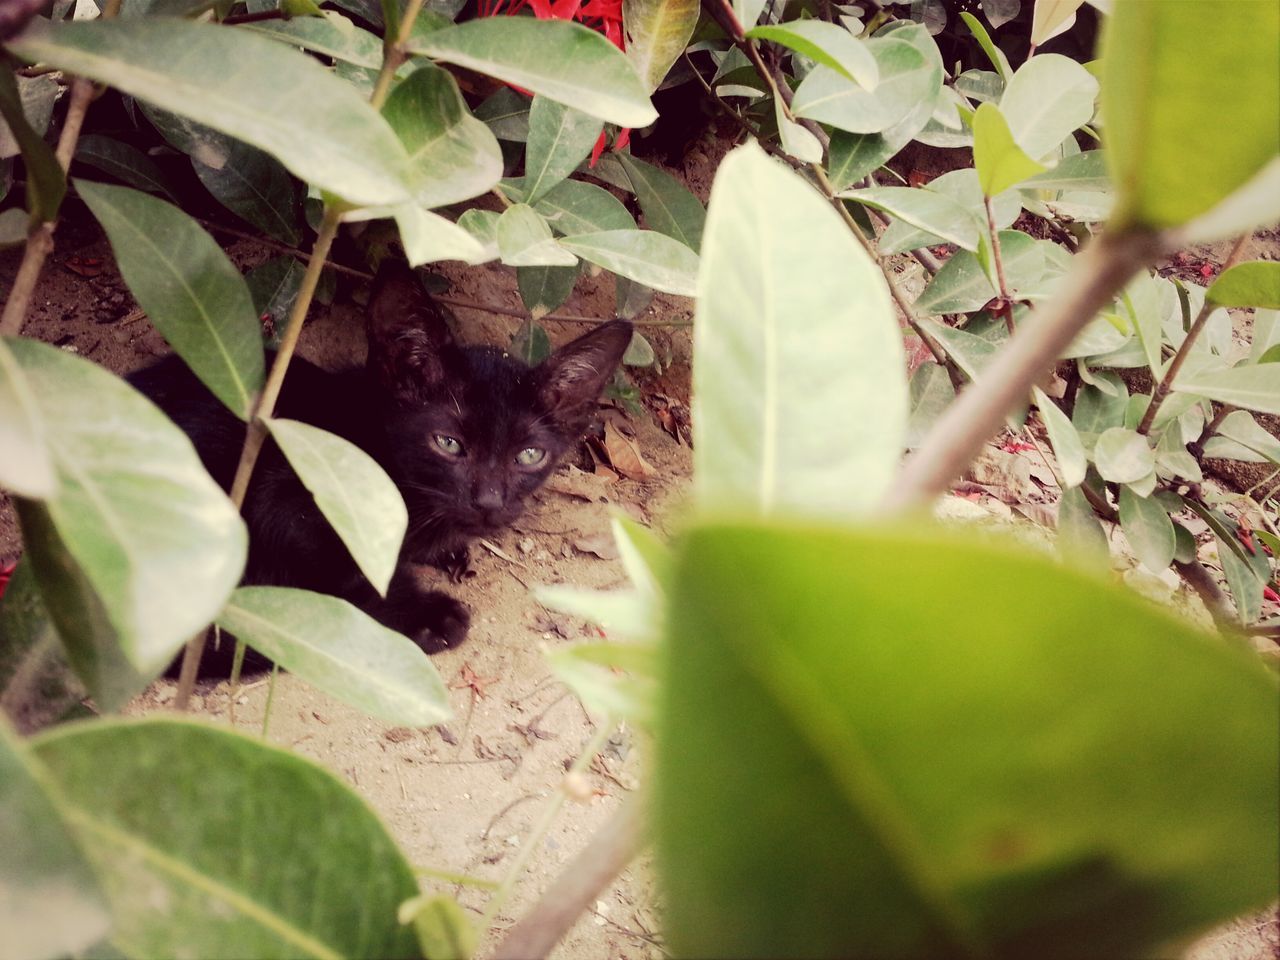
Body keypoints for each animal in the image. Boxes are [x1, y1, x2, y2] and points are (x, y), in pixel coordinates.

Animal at [135, 259, 634, 670]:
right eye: (448, 443)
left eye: (530, 455)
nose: (489, 501)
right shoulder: (288, 501)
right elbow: (351, 571)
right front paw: (427, 614)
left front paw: (445, 550)